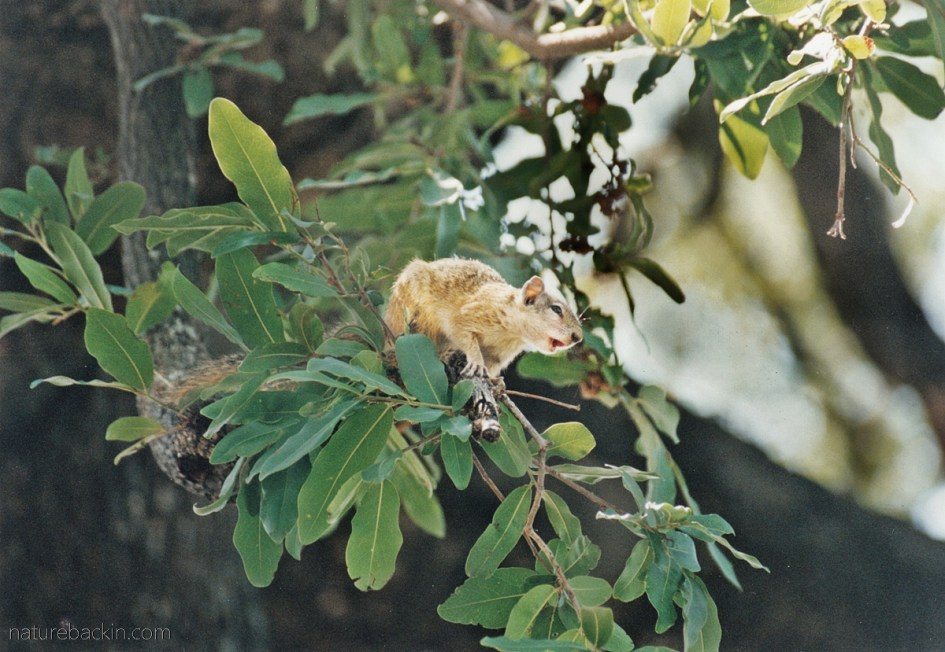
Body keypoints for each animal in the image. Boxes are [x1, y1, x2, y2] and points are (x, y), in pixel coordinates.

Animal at [385, 258, 583, 378]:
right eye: (556, 309)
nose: (578, 337)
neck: (513, 333)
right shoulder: (475, 313)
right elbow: (461, 331)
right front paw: (476, 362)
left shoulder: (499, 356)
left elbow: (492, 366)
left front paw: (495, 382)